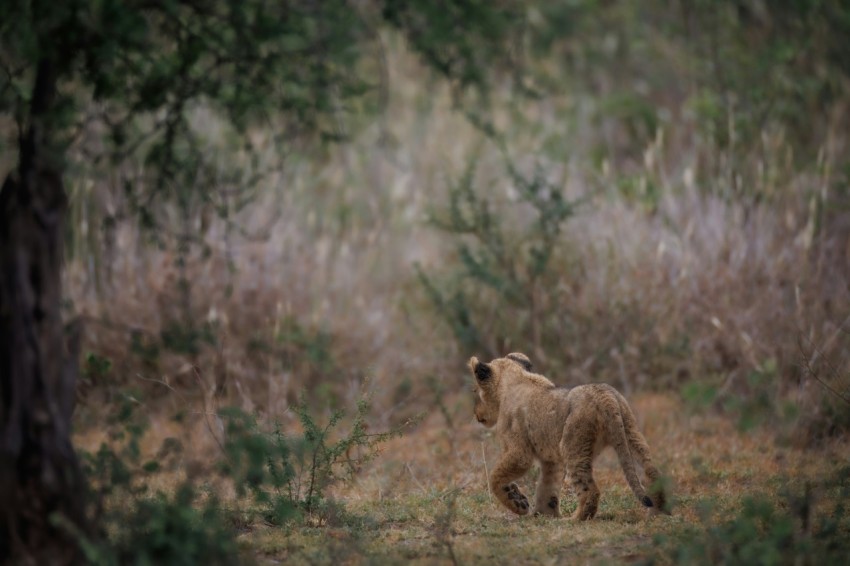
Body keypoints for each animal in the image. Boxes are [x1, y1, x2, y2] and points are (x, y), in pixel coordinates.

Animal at [469, 352, 668, 519]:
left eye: (475, 391)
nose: (476, 414)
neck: (515, 378)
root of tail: (604, 395)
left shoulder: (519, 453)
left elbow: (495, 476)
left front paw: (517, 503)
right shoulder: (550, 459)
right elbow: (547, 485)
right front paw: (544, 514)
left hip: (572, 445)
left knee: (591, 490)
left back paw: (575, 519)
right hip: (631, 434)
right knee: (652, 473)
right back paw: (657, 513)